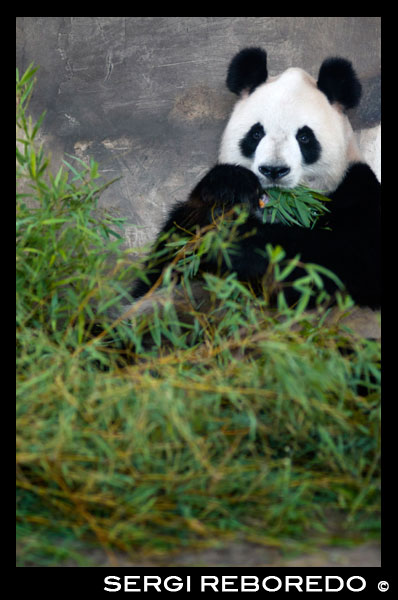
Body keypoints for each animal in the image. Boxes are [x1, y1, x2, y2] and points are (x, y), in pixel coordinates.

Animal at [132, 47, 380, 312]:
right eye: (256, 133)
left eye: (304, 138)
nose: (273, 170)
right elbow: (161, 270)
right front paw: (229, 189)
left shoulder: (356, 193)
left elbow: (340, 264)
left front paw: (237, 242)